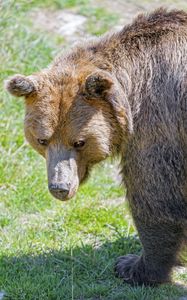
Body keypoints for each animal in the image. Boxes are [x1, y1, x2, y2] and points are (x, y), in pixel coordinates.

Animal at [5, 7, 187, 286]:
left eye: (79, 142)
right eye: (42, 140)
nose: (60, 187)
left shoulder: (158, 124)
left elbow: (154, 195)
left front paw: (134, 267)